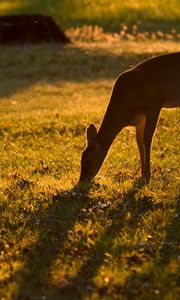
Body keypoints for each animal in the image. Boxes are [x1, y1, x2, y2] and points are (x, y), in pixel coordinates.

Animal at [79, 51, 180, 184]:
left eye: (88, 161)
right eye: (81, 159)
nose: (81, 180)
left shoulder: (154, 106)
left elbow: (147, 139)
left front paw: (147, 177)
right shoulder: (140, 120)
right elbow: (139, 142)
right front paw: (142, 176)